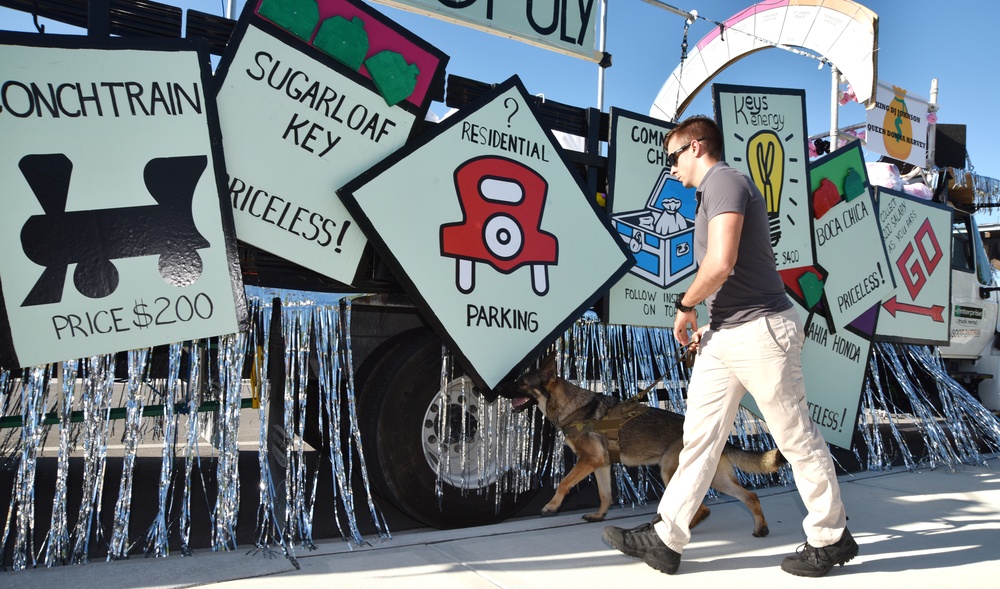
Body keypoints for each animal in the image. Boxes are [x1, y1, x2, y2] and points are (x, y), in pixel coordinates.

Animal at [496, 354, 784, 536]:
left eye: (521, 382)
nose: (497, 389)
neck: (570, 406)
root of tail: (712, 434)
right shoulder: (601, 465)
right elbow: (605, 495)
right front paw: (599, 516)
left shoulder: (588, 461)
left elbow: (564, 482)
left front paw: (552, 506)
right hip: (716, 478)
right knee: (749, 496)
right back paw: (760, 528)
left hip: (671, 472)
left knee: (702, 508)